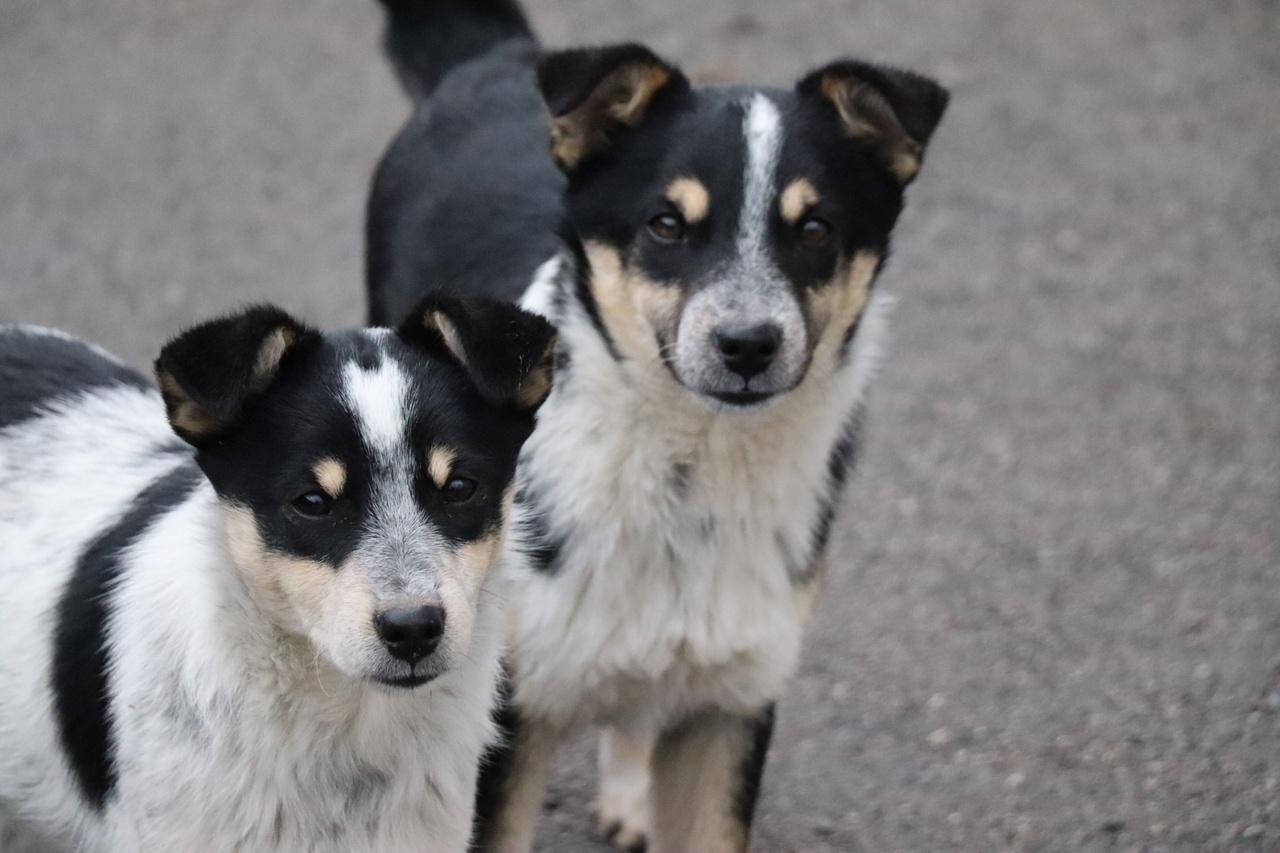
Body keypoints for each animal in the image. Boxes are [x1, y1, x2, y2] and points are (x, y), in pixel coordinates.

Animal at [366, 1, 947, 850]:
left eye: (816, 229)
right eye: (666, 224)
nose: (748, 344)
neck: (690, 472)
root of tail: (496, 57)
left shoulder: (733, 706)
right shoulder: (505, 712)